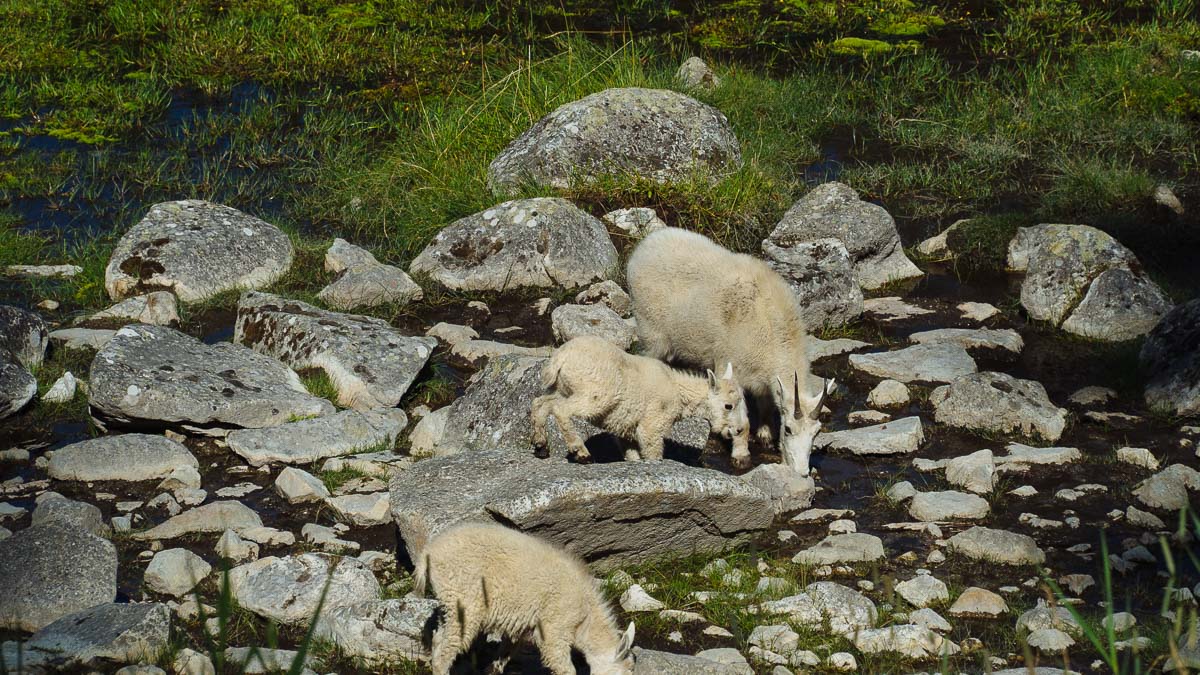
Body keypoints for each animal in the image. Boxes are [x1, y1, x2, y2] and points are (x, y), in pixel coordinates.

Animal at [414, 521, 635, 675]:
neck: (586, 616)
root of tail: (427, 554)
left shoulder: (522, 628)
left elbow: (506, 651)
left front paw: (492, 670)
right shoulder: (555, 626)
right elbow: (564, 666)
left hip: (449, 602)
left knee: (439, 639)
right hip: (464, 599)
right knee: (448, 649)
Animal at [531, 335, 748, 462]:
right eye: (728, 406)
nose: (738, 430)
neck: (679, 391)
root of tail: (561, 358)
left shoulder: (625, 428)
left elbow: (630, 451)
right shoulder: (654, 420)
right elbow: (651, 446)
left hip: (563, 387)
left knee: (541, 402)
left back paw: (541, 445)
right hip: (595, 393)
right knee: (562, 409)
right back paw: (580, 452)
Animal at [626, 227, 827, 474]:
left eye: (816, 432)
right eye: (788, 428)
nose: (801, 472)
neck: (771, 328)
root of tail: (642, 247)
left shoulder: (763, 378)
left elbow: (765, 405)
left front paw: (764, 435)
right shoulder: (730, 366)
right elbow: (742, 421)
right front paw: (741, 454)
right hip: (651, 332)